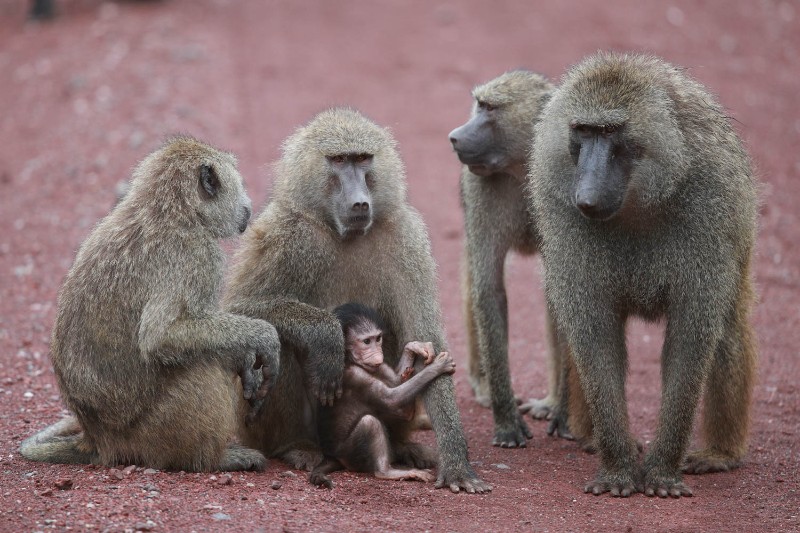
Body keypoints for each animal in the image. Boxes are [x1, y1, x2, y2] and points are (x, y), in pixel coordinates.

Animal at [20, 135, 281, 472]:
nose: (247, 207)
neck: (172, 210)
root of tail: (97, 439)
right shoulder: (198, 256)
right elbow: (161, 338)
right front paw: (262, 337)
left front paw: (247, 359)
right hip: (155, 431)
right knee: (204, 364)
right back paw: (213, 459)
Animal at [309, 303, 456, 488]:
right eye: (366, 341)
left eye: (377, 338)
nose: (377, 352)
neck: (350, 359)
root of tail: (331, 457)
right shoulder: (356, 376)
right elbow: (394, 401)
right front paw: (437, 367)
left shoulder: (378, 366)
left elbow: (396, 382)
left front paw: (413, 347)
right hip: (349, 454)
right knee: (370, 422)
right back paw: (387, 472)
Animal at [449, 70, 588, 448]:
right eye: (478, 104)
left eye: (490, 109)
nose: (455, 137)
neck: (524, 166)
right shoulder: (480, 189)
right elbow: (489, 291)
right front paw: (507, 420)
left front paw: (564, 415)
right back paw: (483, 385)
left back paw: (553, 402)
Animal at [528, 51, 758, 498]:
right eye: (583, 131)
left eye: (610, 132)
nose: (586, 197)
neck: (637, 205)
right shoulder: (561, 204)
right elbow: (596, 340)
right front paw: (617, 467)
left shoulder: (709, 207)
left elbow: (690, 340)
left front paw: (662, 471)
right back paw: (590, 437)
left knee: (726, 334)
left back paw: (720, 454)